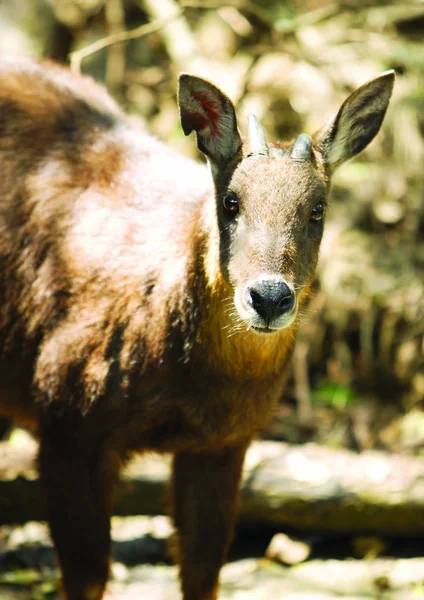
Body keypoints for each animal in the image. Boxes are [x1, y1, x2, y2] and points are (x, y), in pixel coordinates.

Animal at [0, 57, 394, 600]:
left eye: (317, 209)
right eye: (230, 201)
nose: (268, 298)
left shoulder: (223, 442)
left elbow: (203, 573)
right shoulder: (66, 422)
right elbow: (87, 576)